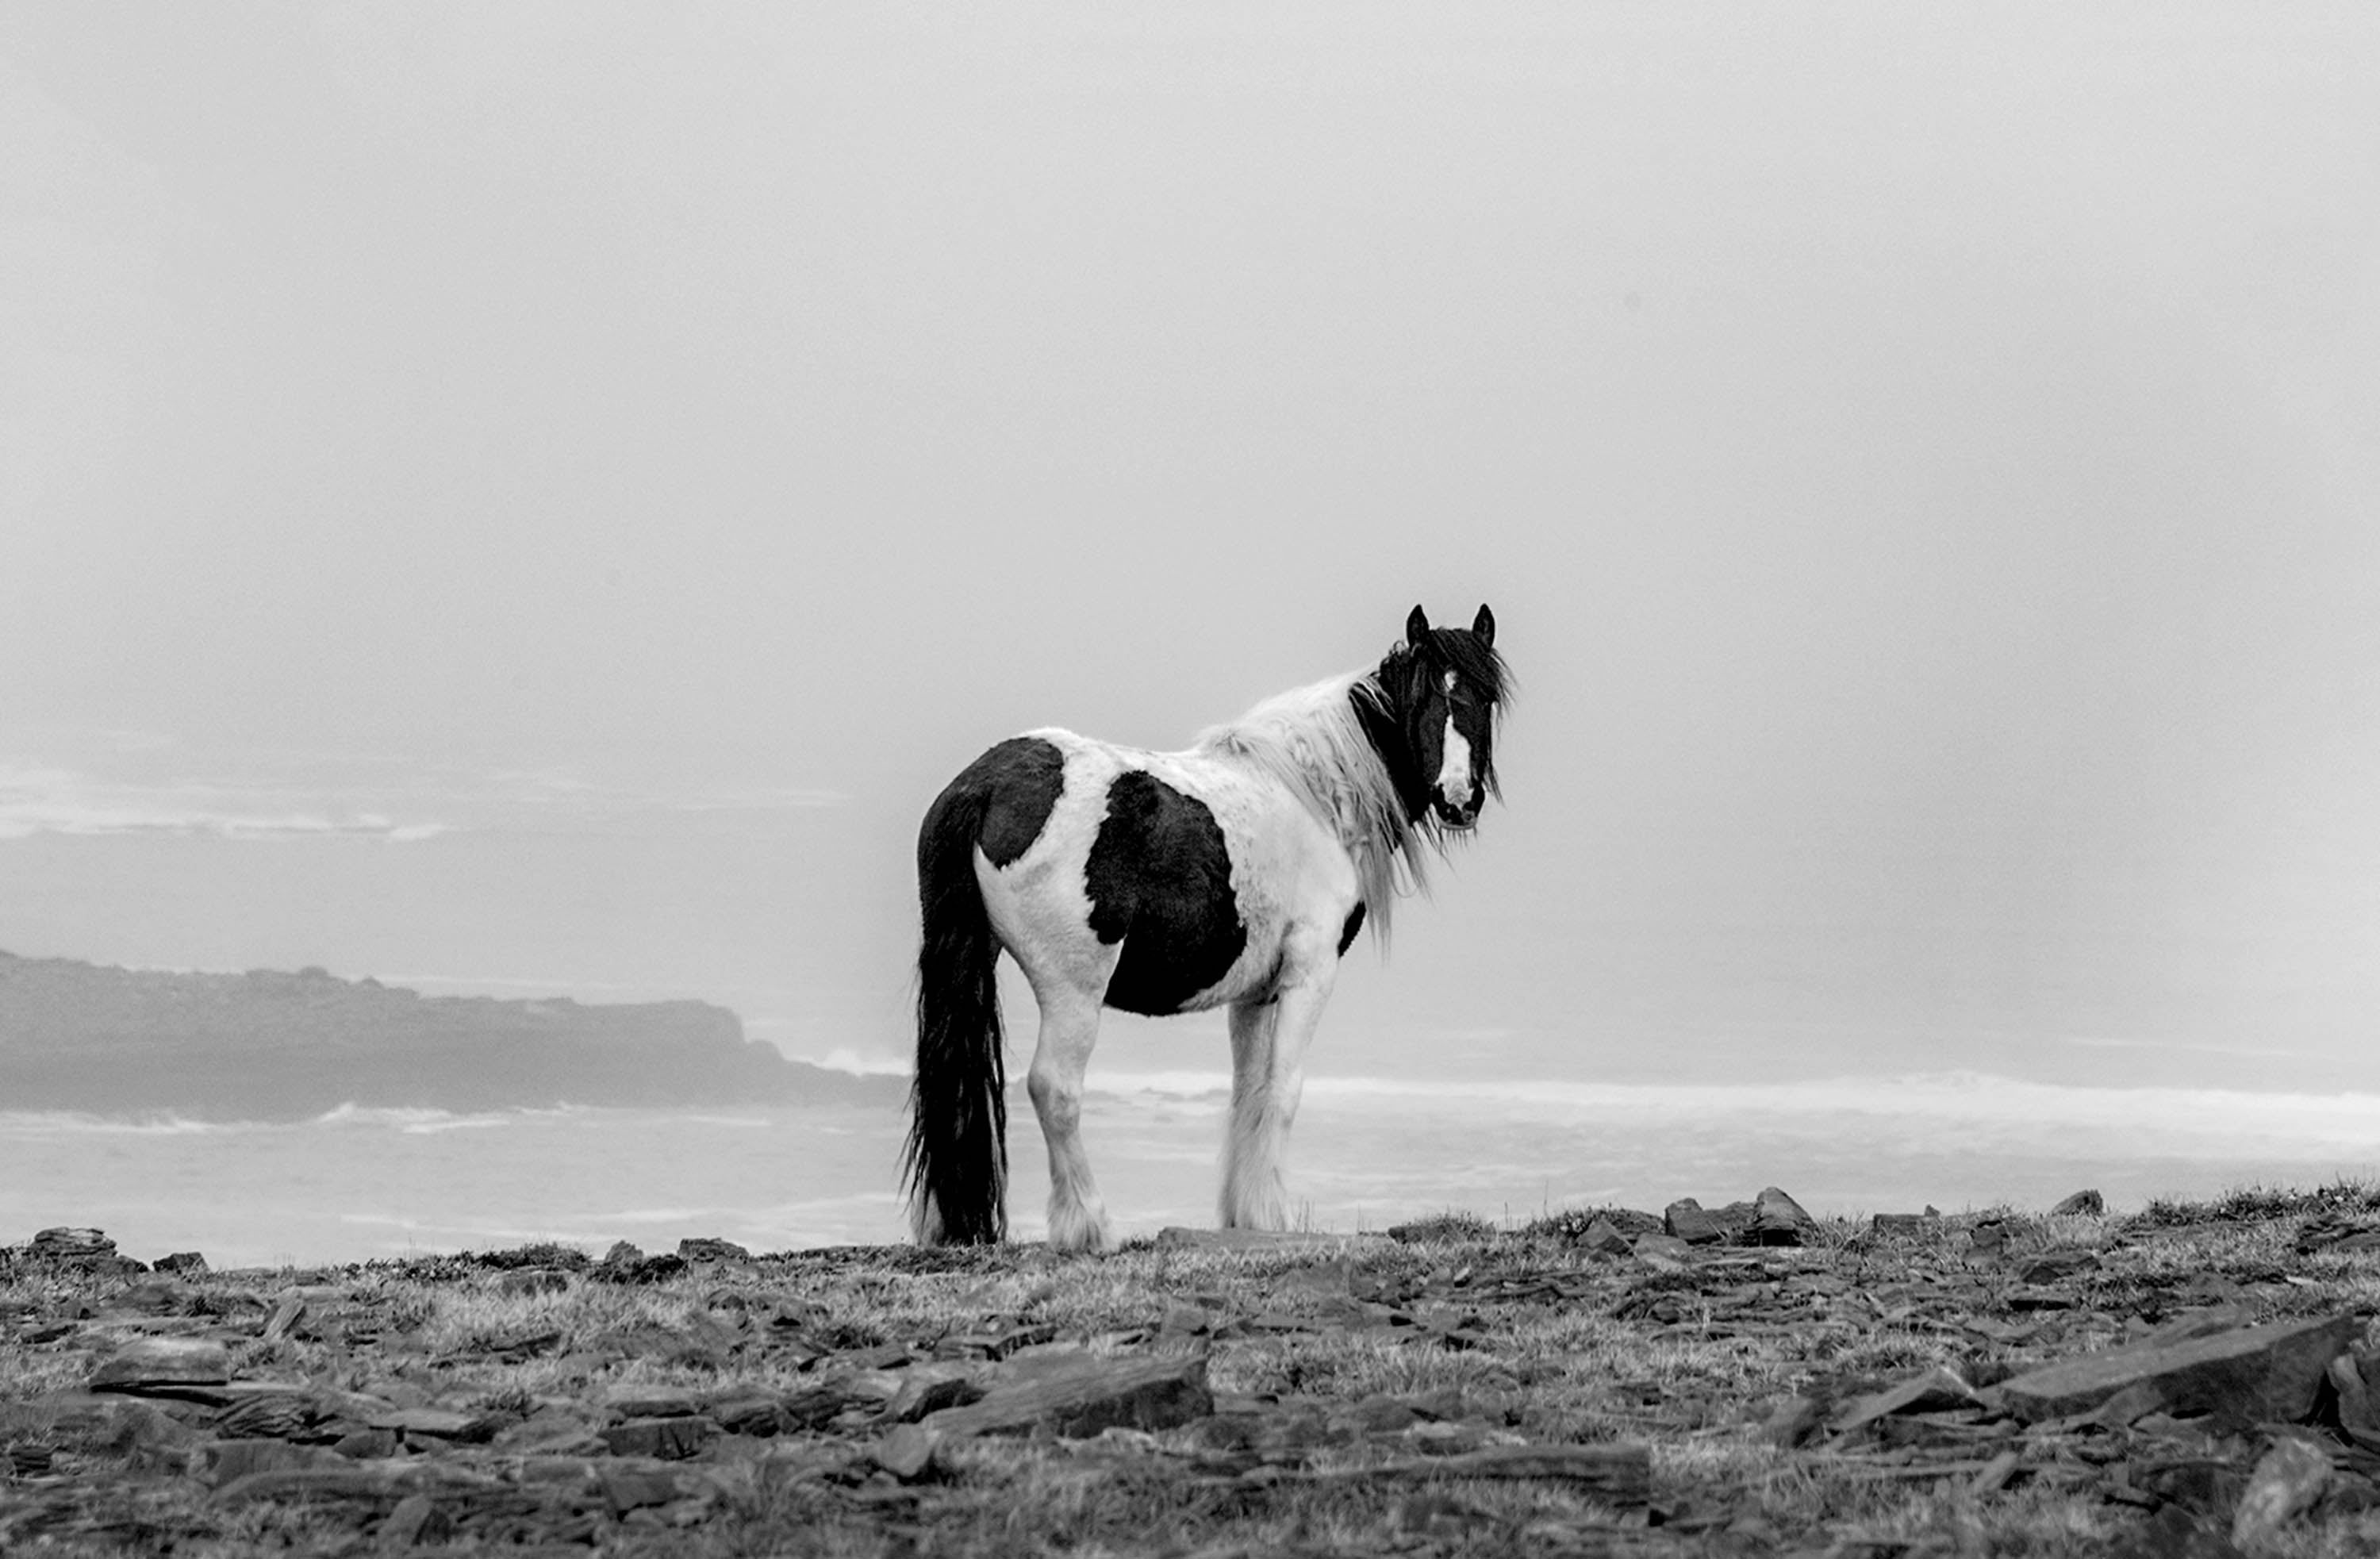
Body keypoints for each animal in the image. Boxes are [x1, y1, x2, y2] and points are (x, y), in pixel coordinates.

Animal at [901, 603, 1510, 1251]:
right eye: (1423, 697)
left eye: (1485, 696)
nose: (1458, 800)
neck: (1317, 796)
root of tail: (985, 786)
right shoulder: (1310, 972)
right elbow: (1284, 1090)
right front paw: (1272, 1214)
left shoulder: (1256, 993)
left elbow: (1249, 1093)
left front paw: (1243, 1213)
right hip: (1073, 992)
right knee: (1054, 1088)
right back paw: (1090, 1225)